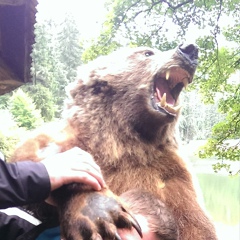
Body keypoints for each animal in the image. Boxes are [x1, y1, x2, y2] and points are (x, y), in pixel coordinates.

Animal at [10, 44, 218, 239]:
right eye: (147, 52)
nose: (190, 50)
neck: (124, 142)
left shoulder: (173, 176)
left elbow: (196, 225)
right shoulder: (75, 136)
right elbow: (33, 154)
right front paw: (98, 210)